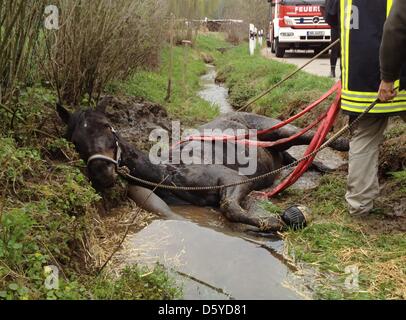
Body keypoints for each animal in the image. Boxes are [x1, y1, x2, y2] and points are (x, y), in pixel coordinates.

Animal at [57, 102, 348, 232]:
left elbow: (229, 208)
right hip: (275, 150)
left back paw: (344, 142)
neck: (170, 170)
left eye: (108, 127)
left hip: (278, 130)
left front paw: (271, 222)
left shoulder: (233, 180)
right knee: (300, 158)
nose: (102, 172)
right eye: (75, 139)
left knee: (310, 136)